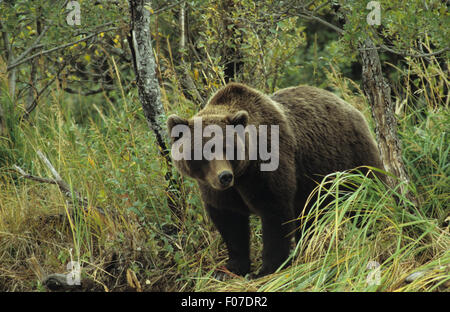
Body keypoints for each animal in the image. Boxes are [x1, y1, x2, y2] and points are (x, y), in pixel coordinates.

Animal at [166, 83, 384, 278]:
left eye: (228, 147)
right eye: (203, 150)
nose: (224, 176)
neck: (243, 173)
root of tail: (353, 108)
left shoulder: (268, 167)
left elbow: (274, 215)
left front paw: (266, 269)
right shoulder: (217, 189)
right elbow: (230, 222)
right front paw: (230, 269)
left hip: (351, 159)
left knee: (368, 198)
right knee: (312, 215)